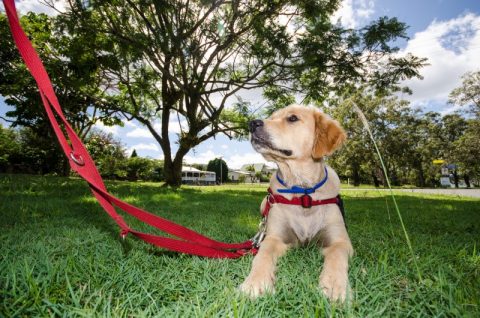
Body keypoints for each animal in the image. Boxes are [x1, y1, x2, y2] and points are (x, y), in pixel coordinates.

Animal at [239, 103, 352, 300]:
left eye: (292, 118)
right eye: (272, 116)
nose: (252, 124)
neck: (302, 191)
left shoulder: (340, 241)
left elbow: (336, 256)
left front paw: (334, 285)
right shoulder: (274, 237)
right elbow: (263, 253)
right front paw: (255, 282)